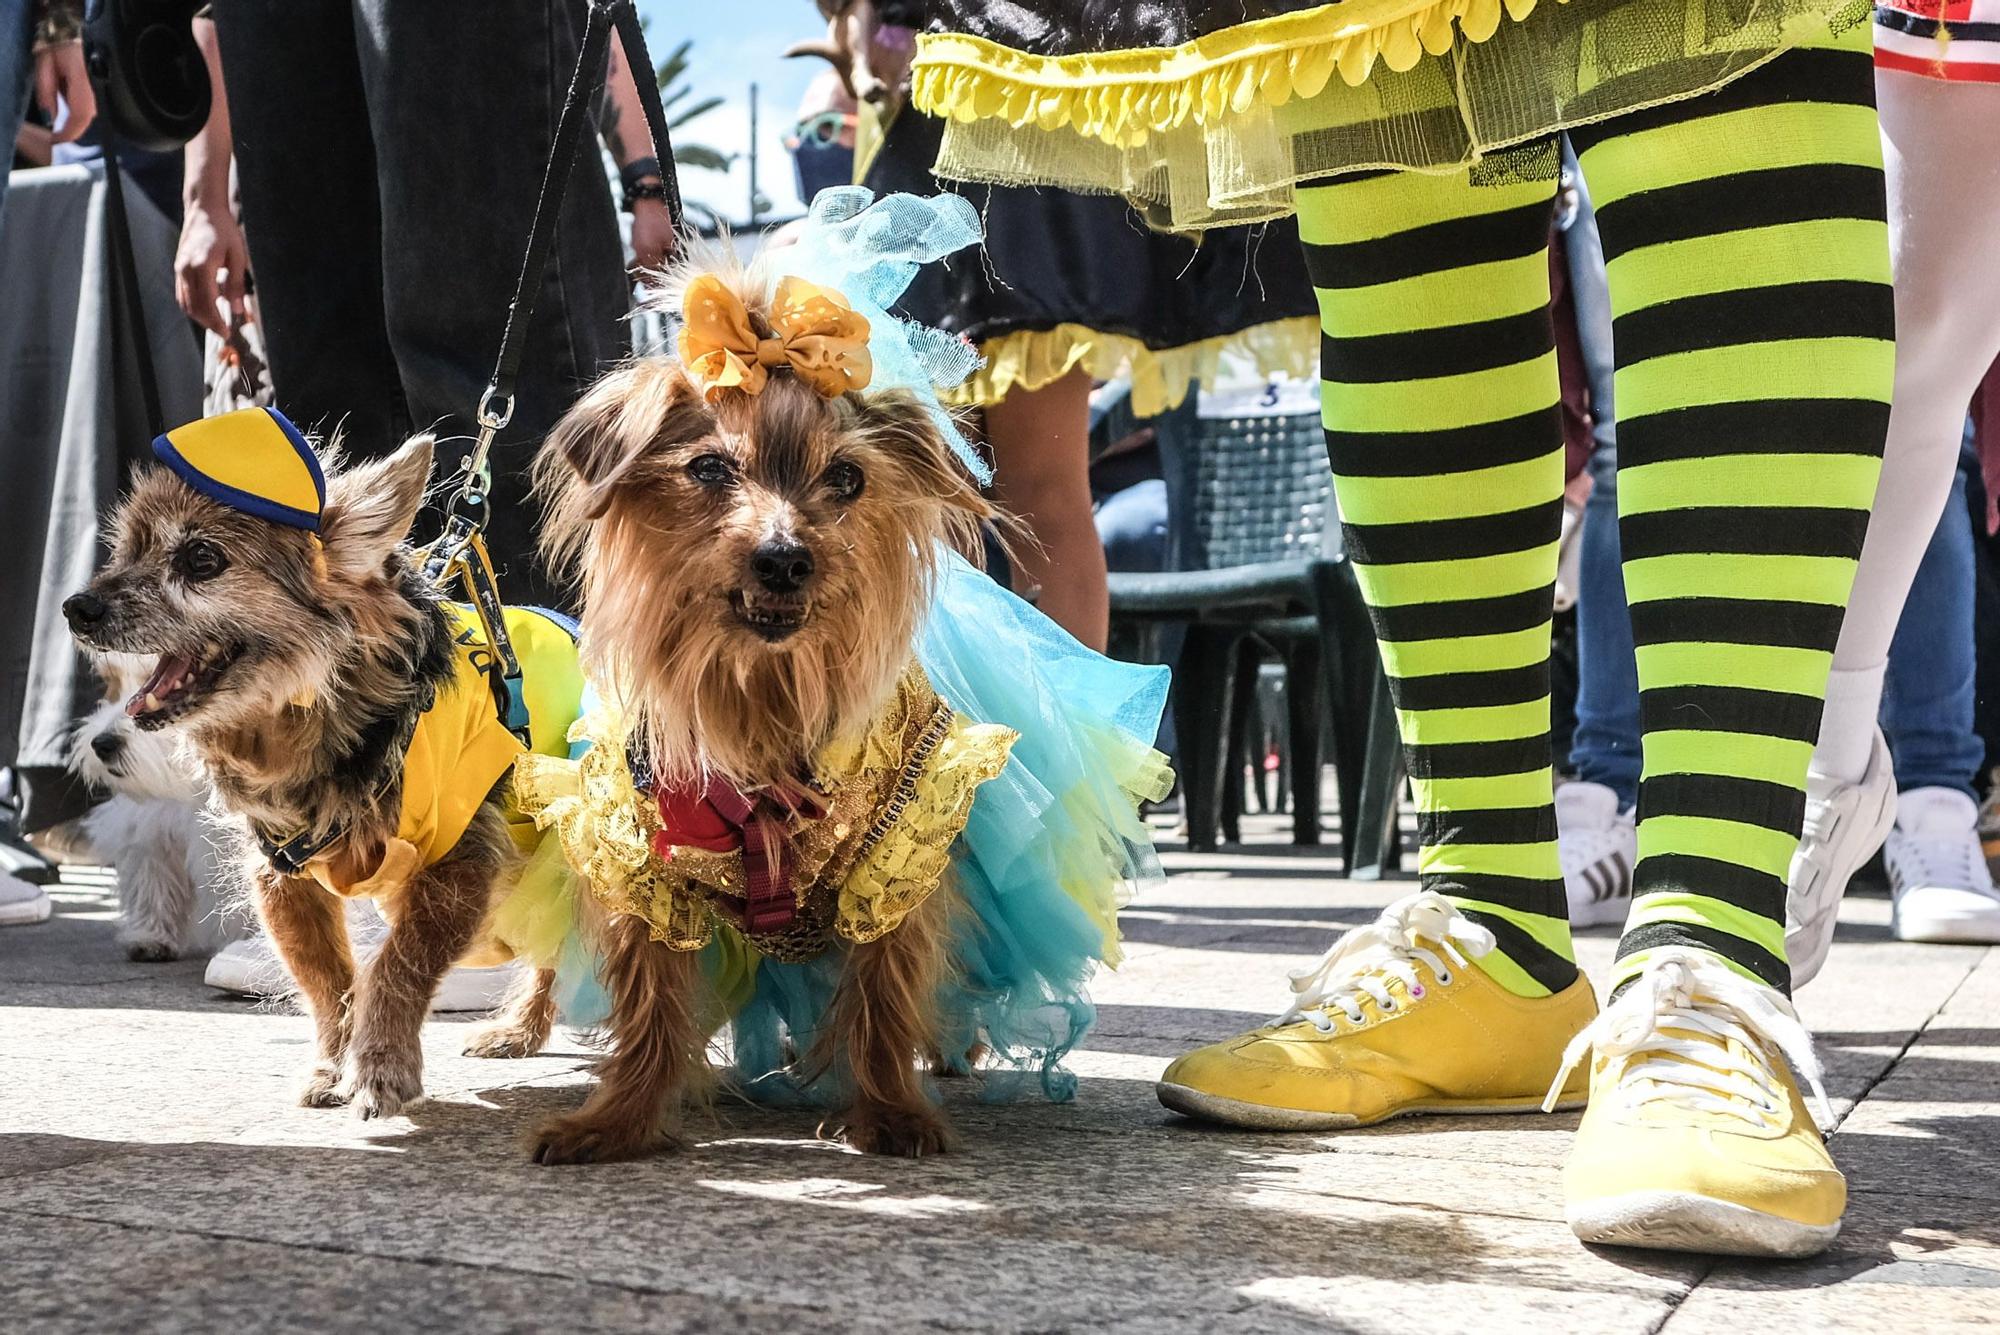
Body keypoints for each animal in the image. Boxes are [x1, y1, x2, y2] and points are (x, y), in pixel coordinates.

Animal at [528, 259, 1008, 1159]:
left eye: (848, 478)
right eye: (711, 469)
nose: (784, 558)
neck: (760, 702)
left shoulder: (901, 855)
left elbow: (886, 992)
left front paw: (893, 1110)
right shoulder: (634, 860)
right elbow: (648, 1003)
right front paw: (618, 1119)